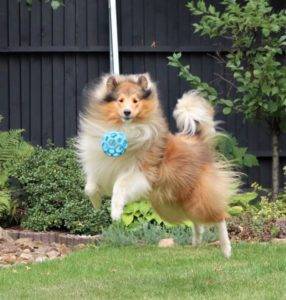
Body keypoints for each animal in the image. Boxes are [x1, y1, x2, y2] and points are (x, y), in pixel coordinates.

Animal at [77, 73, 238, 258]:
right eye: (120, 100)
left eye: (135, 100)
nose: (127, 112)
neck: (125, 129)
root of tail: (198, 141)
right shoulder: (101, 167)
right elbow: (90, 187)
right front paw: (96, 203)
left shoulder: (140, 172)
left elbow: (120, 186)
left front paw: (116, 212)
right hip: (171, 206)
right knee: (196, 219)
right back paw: (197, 240)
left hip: (198, 196)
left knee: (218, 216)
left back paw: (226, 249)